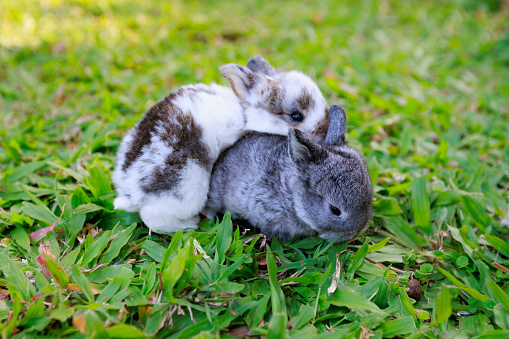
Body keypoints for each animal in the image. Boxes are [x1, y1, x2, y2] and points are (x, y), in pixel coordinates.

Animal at [110, 57, 328, 235]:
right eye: (297, 116)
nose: (324, 130)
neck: (244, 112)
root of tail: (132, 192)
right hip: (188, 192)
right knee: (151, 217)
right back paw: (190, 224)